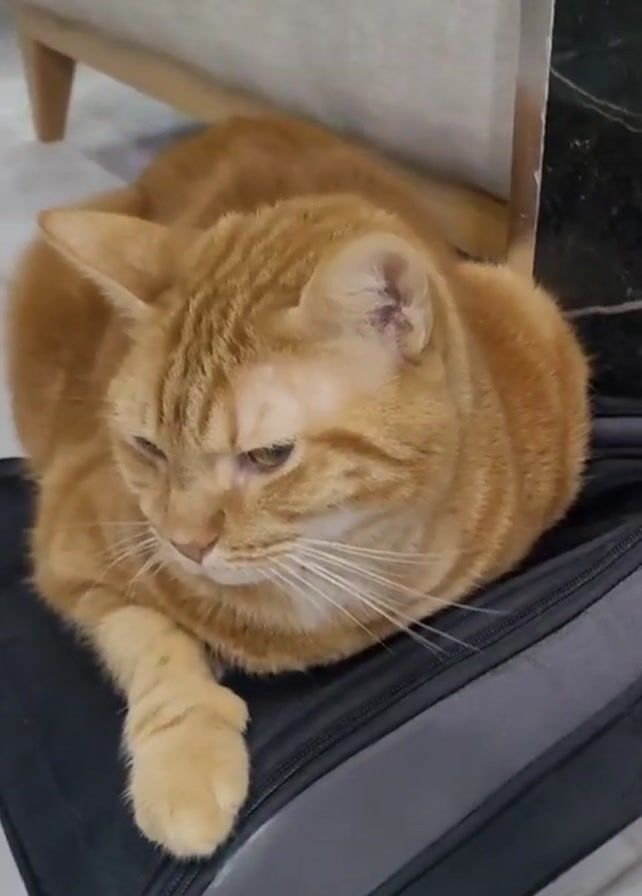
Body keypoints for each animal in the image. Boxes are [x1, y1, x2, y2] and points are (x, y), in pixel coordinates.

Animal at [7, 115, 589, 858]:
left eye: (268, 456)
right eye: (148, 449)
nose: (184, 544)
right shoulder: (71, 540)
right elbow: (151, 641)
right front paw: (186, 762)